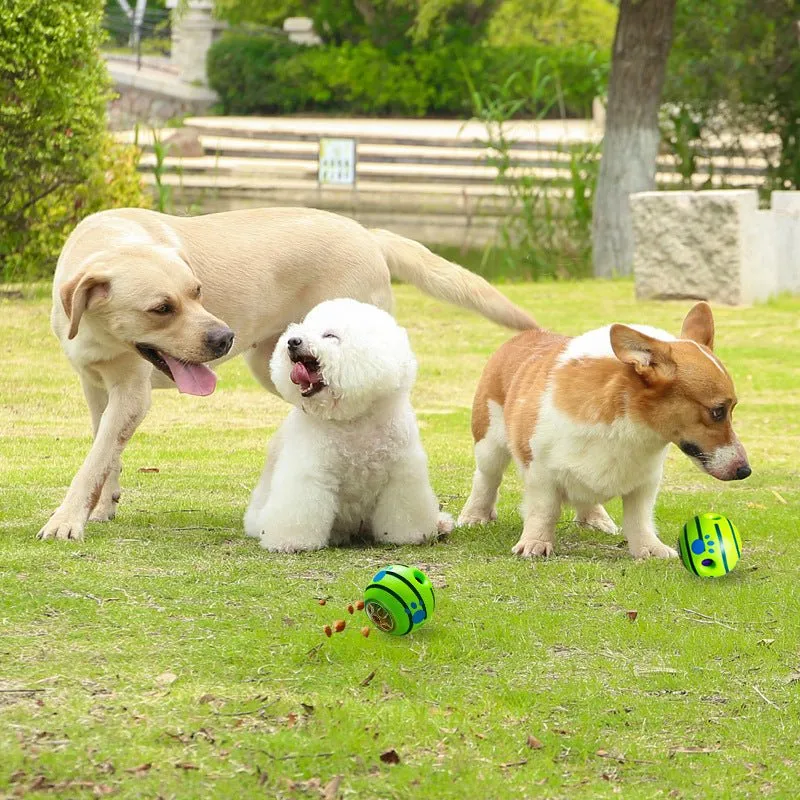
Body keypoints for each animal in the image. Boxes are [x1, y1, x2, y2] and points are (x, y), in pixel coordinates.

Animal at [245, 296, 450, 552]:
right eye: (304, 326)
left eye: (330, 335)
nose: (292, 341)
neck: (354, 419)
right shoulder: (308, 472)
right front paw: (291, 541)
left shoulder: (401, 473)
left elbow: (403, 510)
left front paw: (410, 536)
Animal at [456, 304, 752, 560]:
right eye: (717, 411)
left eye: (732, 408)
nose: (745, 471)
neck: (631, 423)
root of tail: (530, 333)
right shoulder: (541, 472)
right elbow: (544, 510)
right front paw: (536, 542)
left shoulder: (645, 482)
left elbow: (639, 519)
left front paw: (649, 548)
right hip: (489, 445)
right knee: (487, 478)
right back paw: (475, 515)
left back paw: (595, 518)